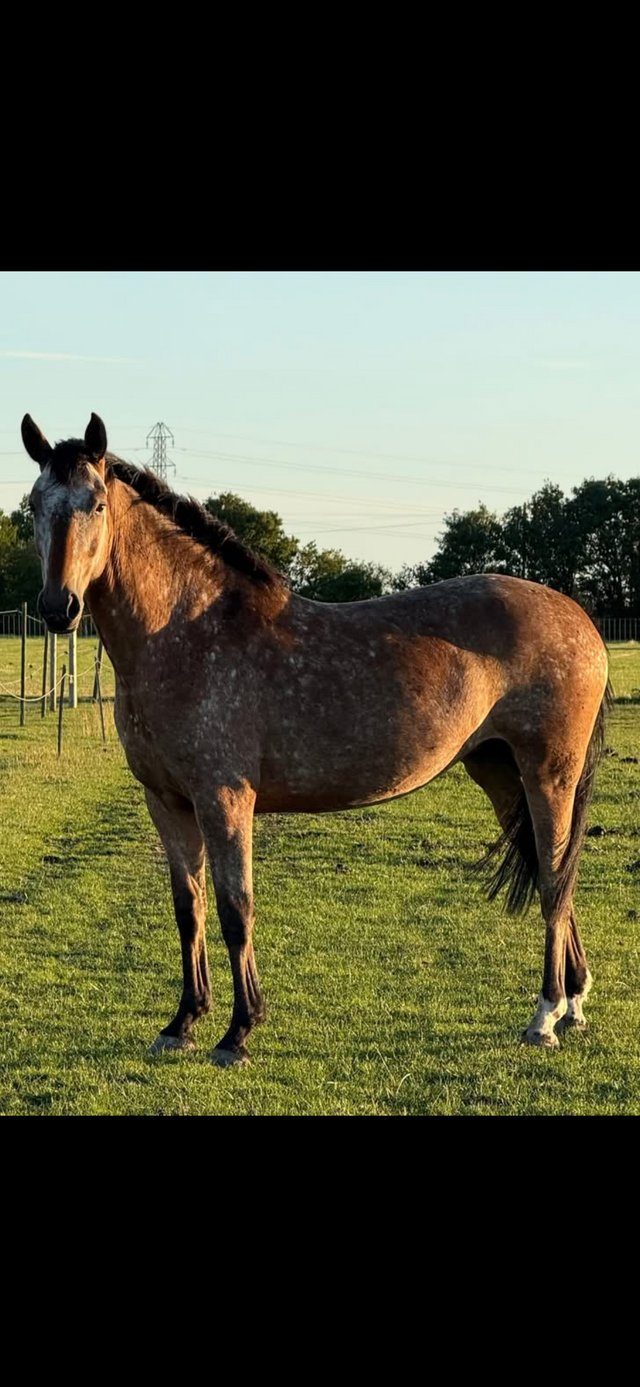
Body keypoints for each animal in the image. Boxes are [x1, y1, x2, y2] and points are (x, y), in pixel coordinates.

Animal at [21, 412, 611, 1064]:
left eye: (97, 504)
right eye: (33, 505)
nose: (58, 607)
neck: (186, 632)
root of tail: (579, 619)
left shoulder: (224, 798)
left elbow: (235, 908)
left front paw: (238, 1031)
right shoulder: (166, 802)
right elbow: (188, 909)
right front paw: (181, 1023)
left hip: (549, 772)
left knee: (556, 880)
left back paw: (545, 1014)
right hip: (500, 772)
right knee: (552, 874)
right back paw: (573, 1004)